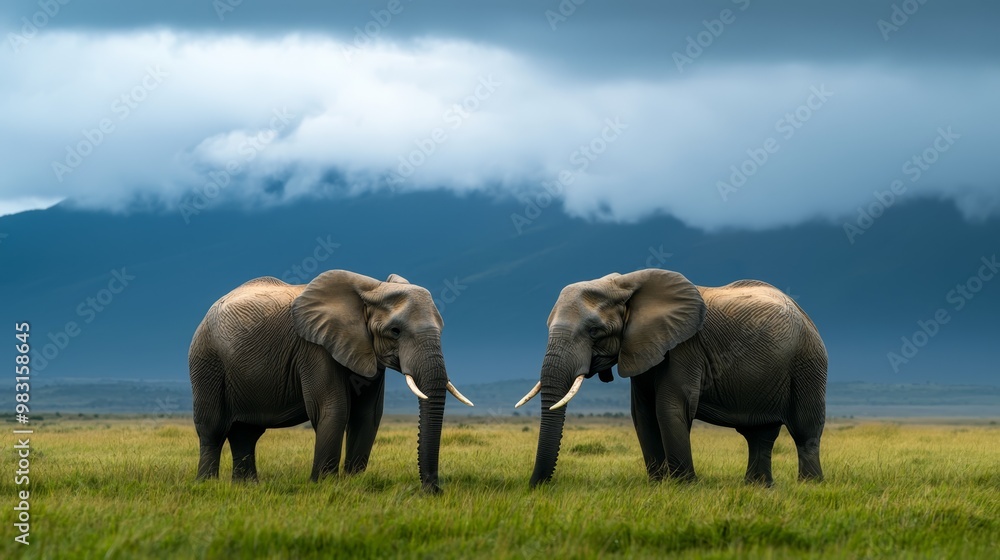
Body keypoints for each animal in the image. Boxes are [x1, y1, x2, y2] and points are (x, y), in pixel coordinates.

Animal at [188, 270, 473, 492]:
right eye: (395, 331)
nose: (432, 490)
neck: (371, 288)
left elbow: (367, 415)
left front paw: (354, 482)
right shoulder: (314, 347)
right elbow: (333, 408)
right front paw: (323, 484)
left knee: (246, 432)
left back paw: (247, 487)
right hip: (207, 361)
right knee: (212, 428)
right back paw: (207, 484)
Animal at [517, 269, 827, 487]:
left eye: (595, 331)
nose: (536, 487)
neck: (624, 284)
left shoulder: (685, 347)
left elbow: (670, 407)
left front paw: (684, 486)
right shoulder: (642, 347)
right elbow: (642, 413)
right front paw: (657, 485)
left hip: (807, 362)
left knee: (805, 429)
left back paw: (809, 485)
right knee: (758, 434)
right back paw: (758, 487)